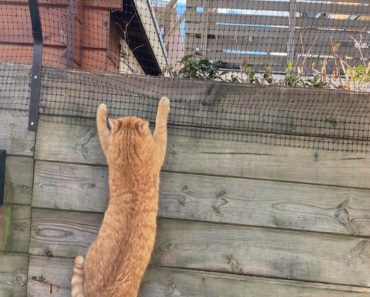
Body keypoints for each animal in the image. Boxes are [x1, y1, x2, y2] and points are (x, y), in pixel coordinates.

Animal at [71, 97, 171, 296]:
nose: (141, 118)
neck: (129, 159)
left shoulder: (109, 146)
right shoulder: (158, 148)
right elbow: (161, 123)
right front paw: (164, 103)